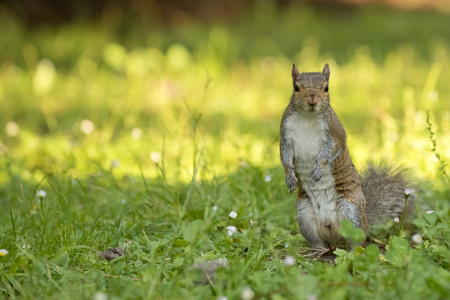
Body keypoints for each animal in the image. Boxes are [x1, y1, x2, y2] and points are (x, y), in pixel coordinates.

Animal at [282, 63, 414, 248]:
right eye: (296, 87)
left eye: (326, 88)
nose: (312, 101)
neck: (308, 116)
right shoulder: (285, 134)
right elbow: (285, 156)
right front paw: (289, 178)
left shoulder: (335, 133)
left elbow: (331, 150)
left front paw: (317, 170)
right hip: (304, 212)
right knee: (318, 241)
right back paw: (317, 250)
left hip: (350, 211)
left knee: (356, 241)